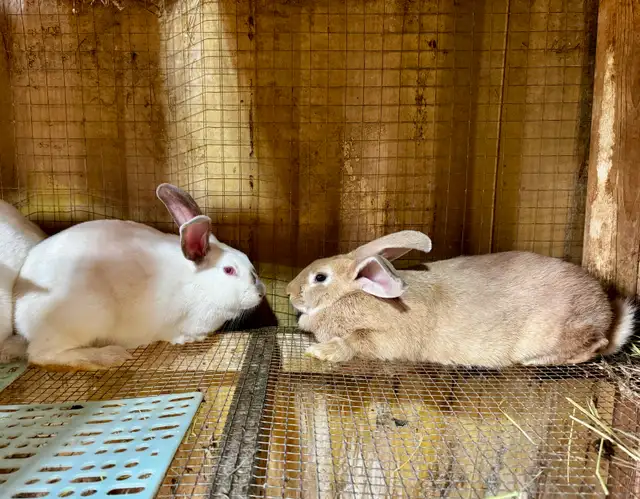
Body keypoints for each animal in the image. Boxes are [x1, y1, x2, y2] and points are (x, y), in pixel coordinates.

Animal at [13, 183, 266, 371]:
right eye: (229, 270)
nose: (260, 294)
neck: (197, 284)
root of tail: (20, 312)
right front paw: (190, 339)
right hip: (88, 315)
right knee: (40, 356)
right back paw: (106, 357)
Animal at [286, 230, 637, 368]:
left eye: (320, 277)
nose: (289, 292)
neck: (355, 294)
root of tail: (607, 315)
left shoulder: (382, 337)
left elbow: (355, 343)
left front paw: (320, 351)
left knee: (593, 344)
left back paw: (534, 361)